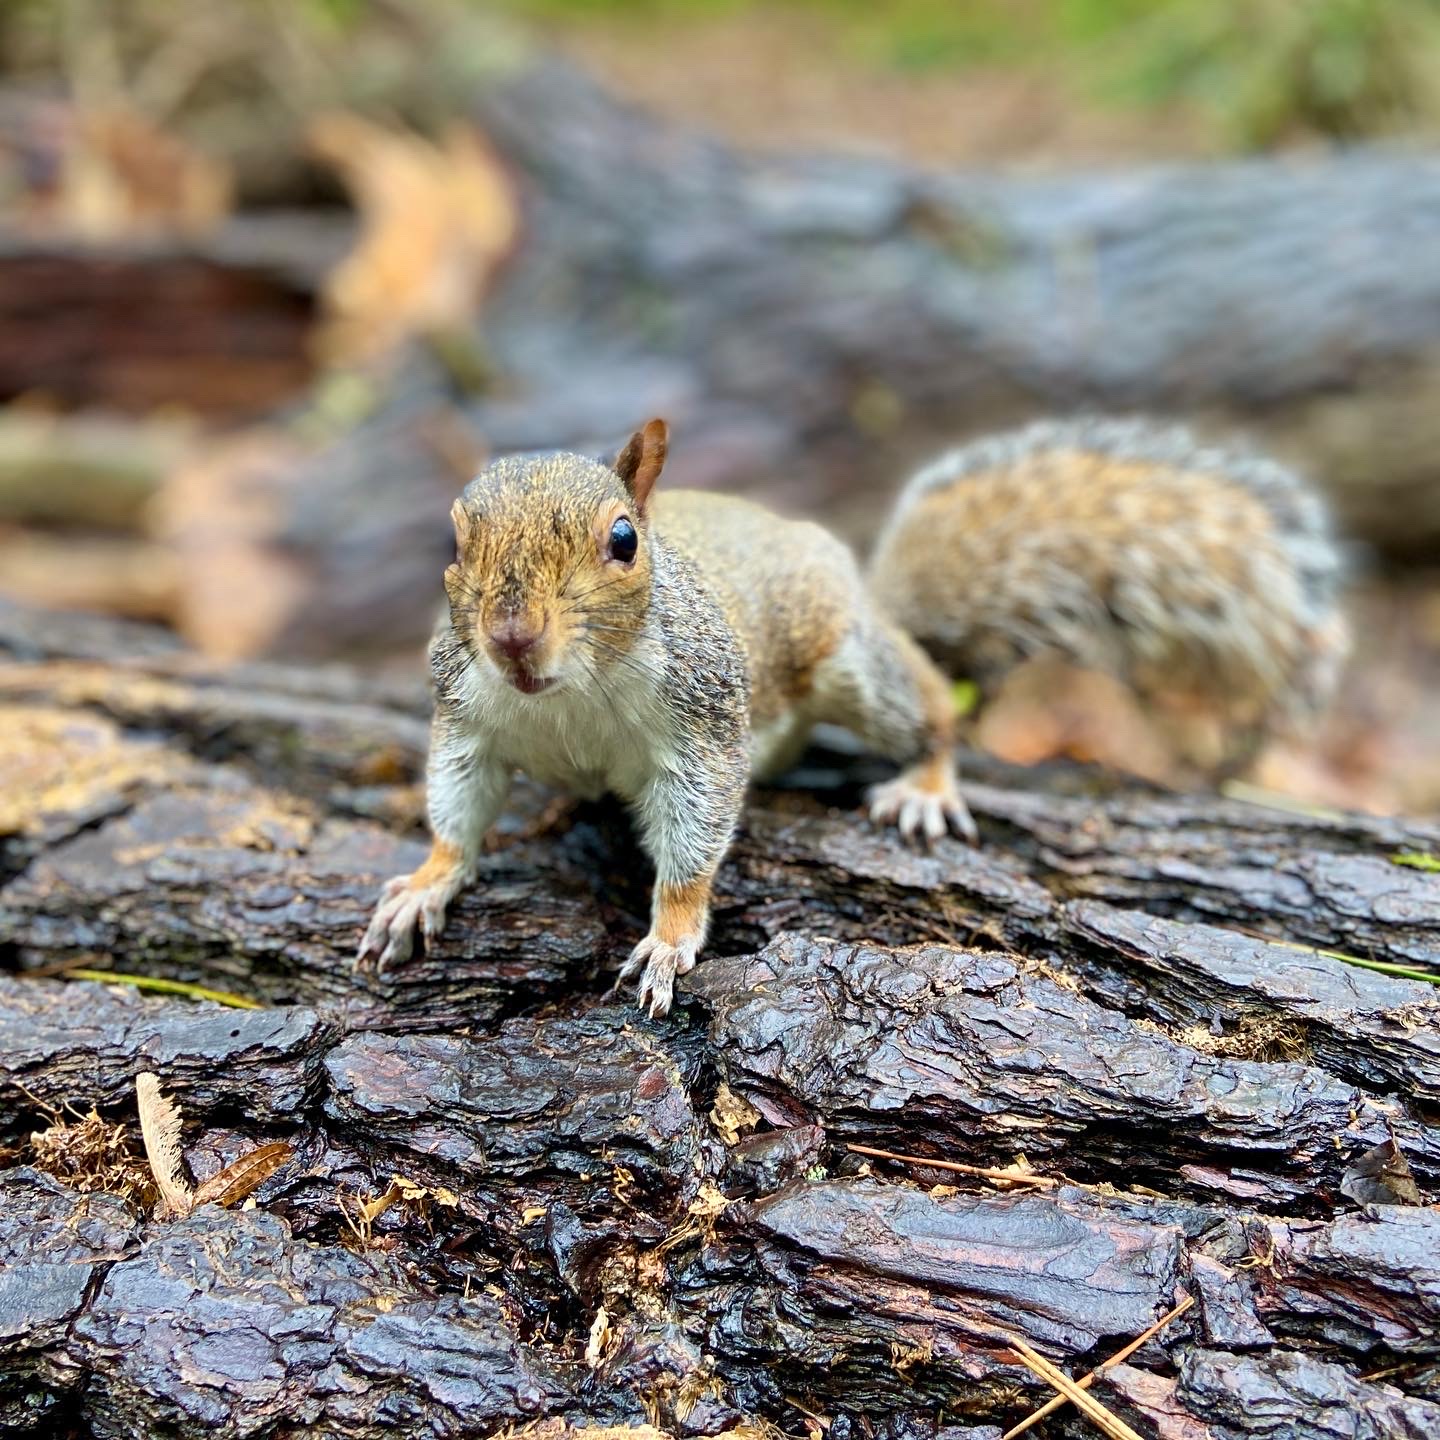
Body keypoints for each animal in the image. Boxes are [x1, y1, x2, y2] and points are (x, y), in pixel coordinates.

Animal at [358, 415, 1346, 1015]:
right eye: (455, 540)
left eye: (624, 541)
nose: (513, 639)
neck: (565, 697)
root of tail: (863, 589)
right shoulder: (467, 719)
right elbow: (455, 810)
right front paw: (425, 885)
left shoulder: (703, 726)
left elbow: (693, 841)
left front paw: (670, 938)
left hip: (851, 671)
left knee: (932, 709)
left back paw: (926, 786)